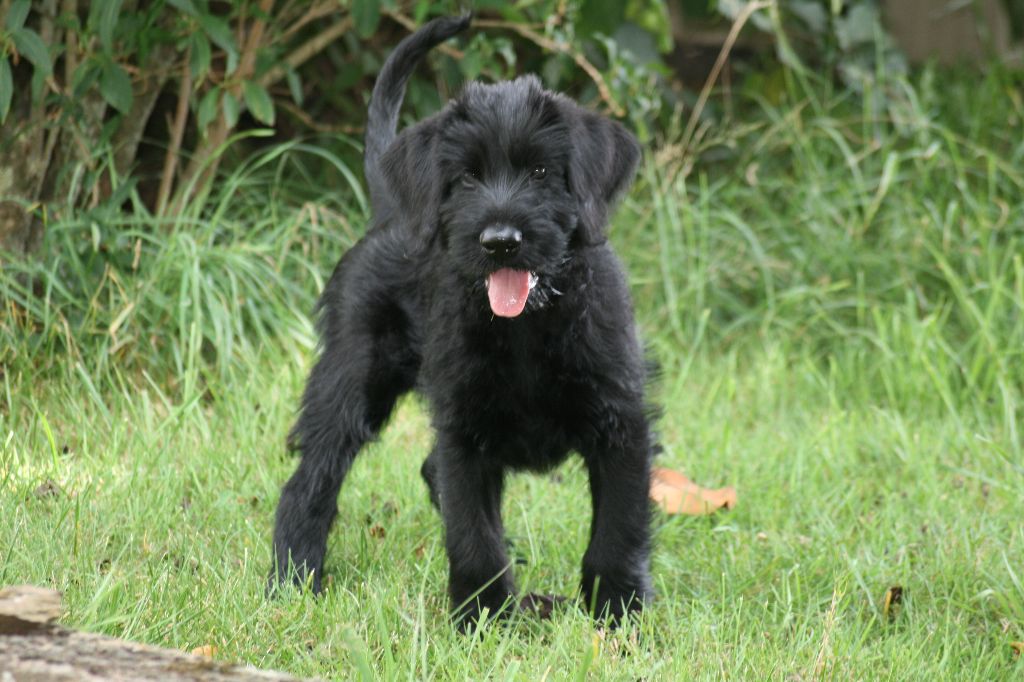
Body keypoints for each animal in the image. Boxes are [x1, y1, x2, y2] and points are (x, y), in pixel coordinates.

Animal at [270, 13, 655, 622]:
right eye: (468, 177)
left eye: (541, 170)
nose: (500, 241)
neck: (526, 328)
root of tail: (390, 208)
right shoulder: (463, 431)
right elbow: (471, 527)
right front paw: (483, 614)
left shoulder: (622, 422)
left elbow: (618, 525)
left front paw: (617, 608)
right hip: (353, 381)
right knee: (311, 481)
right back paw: (292, 580)